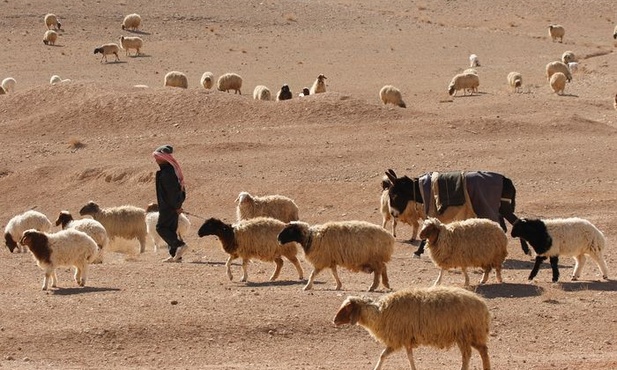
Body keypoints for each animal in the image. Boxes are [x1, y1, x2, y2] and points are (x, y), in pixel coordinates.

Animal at [332, 284, 490, 370]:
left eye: (347, 308)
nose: (334, 320)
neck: (381, 314)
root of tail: (482, 304)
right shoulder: (406, 339)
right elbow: (408, 357)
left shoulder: (397, 339)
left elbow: (384, 355)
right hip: (473, 334)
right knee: (482, 350)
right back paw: (486, 367)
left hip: (465, 333)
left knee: (467, 355)